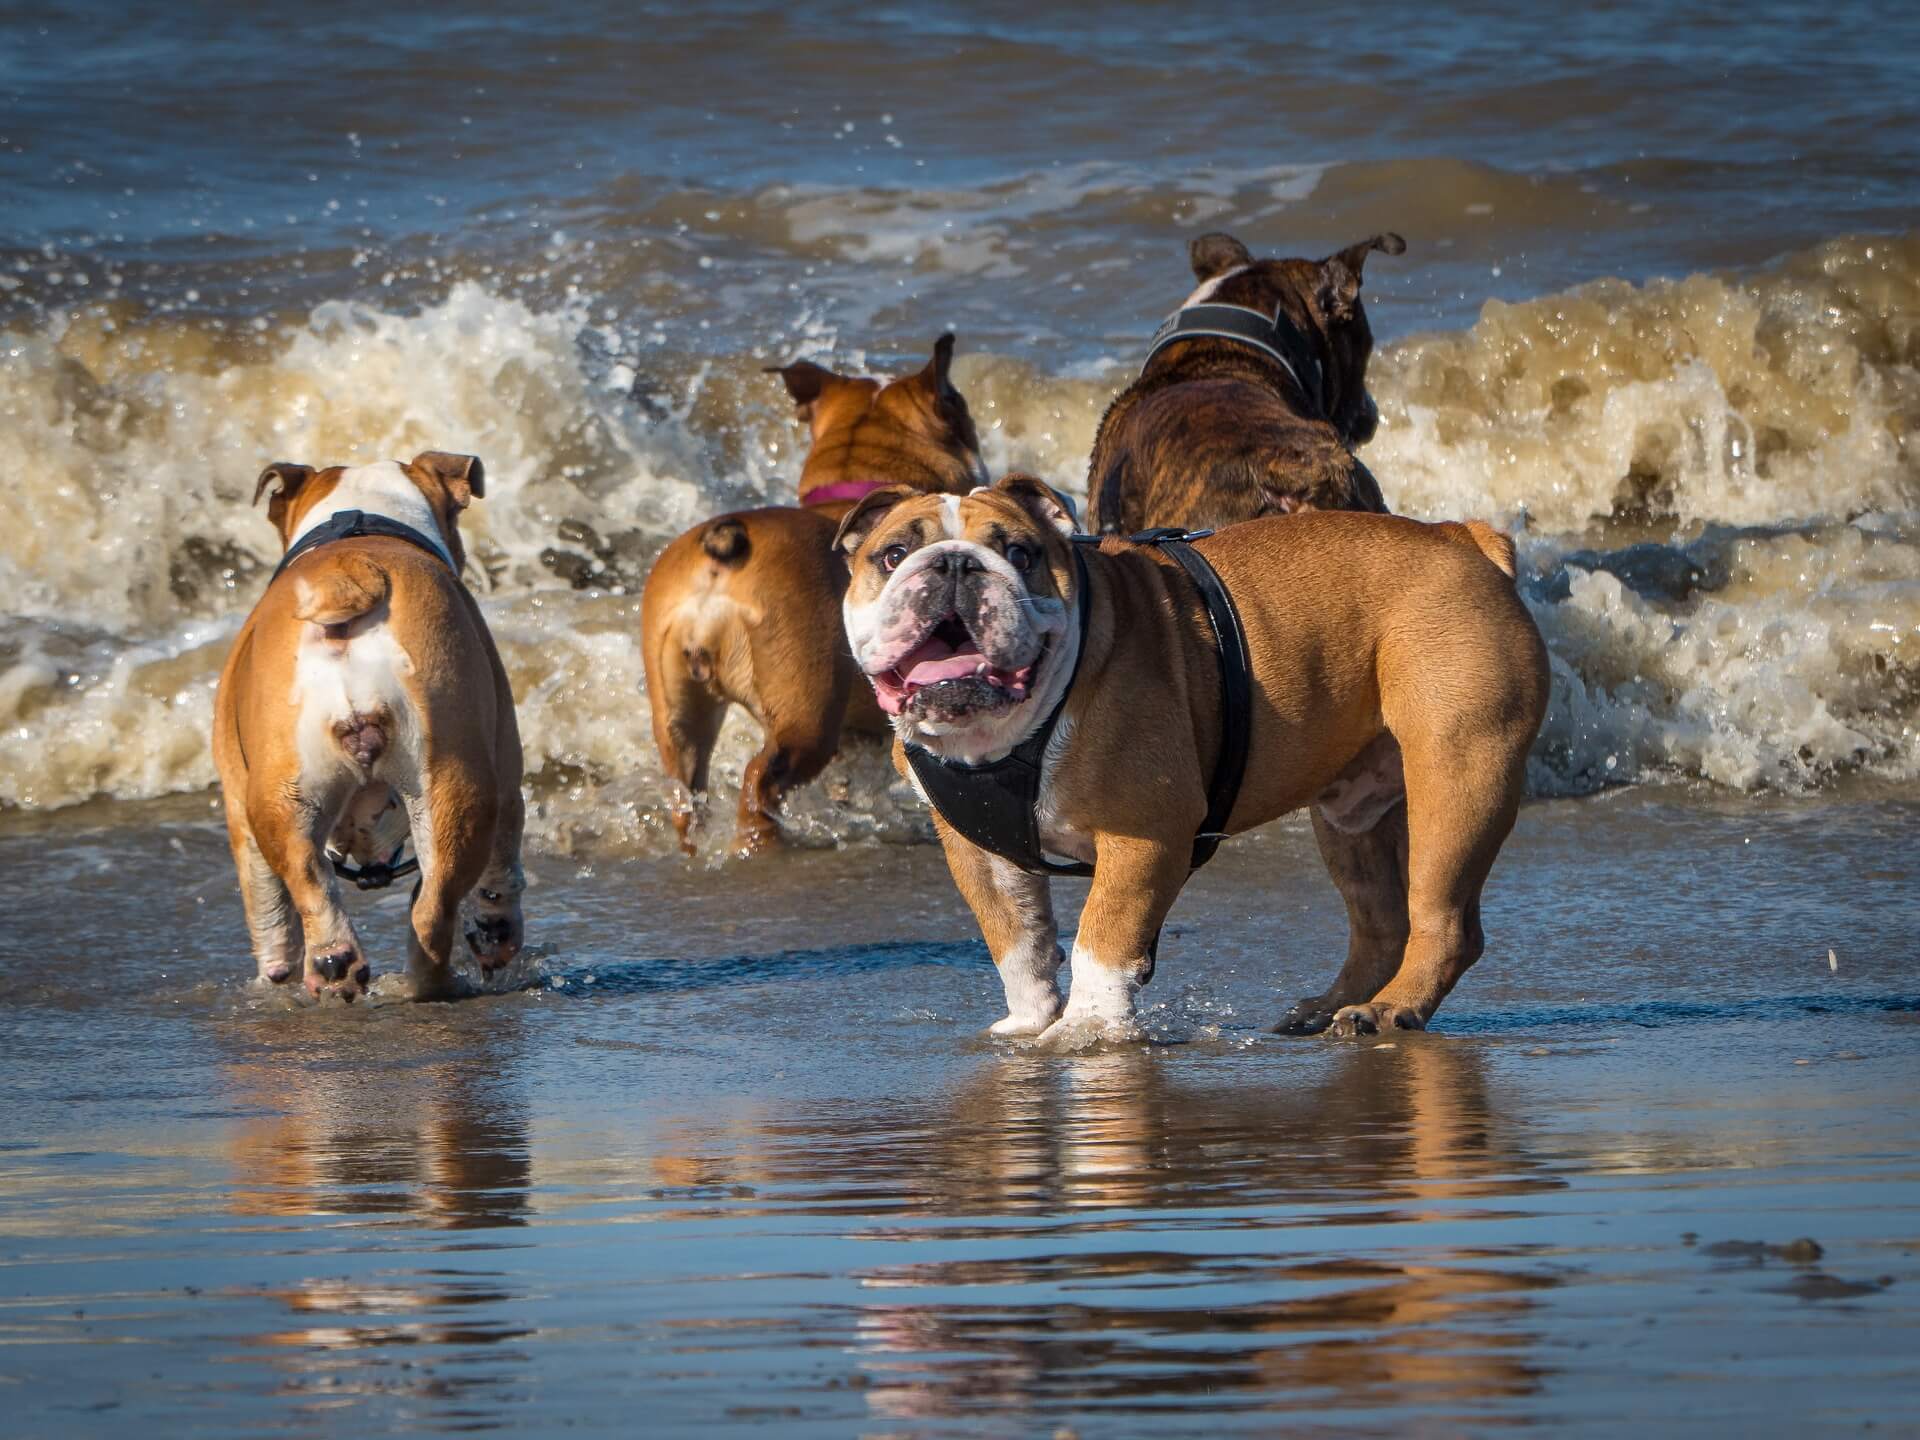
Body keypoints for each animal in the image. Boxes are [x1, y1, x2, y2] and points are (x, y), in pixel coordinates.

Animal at [214, 451, 526, 1006]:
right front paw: (496, 934)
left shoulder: (237, 801)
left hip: (278, 795)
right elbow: (502, 872)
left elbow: (268, 907)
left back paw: (335, 966)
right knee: (433, 910)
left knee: (308, 882)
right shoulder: (506, 768)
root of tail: (350, 572)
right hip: (452, 786)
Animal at [837, 474, 1543, 1052]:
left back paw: (1392, 1009)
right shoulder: (979, 852)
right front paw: (1030, 1022)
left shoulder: (1146, 836)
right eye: (892, 555)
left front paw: (1088, 1028)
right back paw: (1329, 1007)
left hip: (1457, 778)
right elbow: (1017, 940)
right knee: (1381, 921)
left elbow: (1102, 935)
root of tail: (1462, 536)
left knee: (1444, 921)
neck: (1001, 735)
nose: (956, 564)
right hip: (1353, 817)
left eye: (1020, 554)